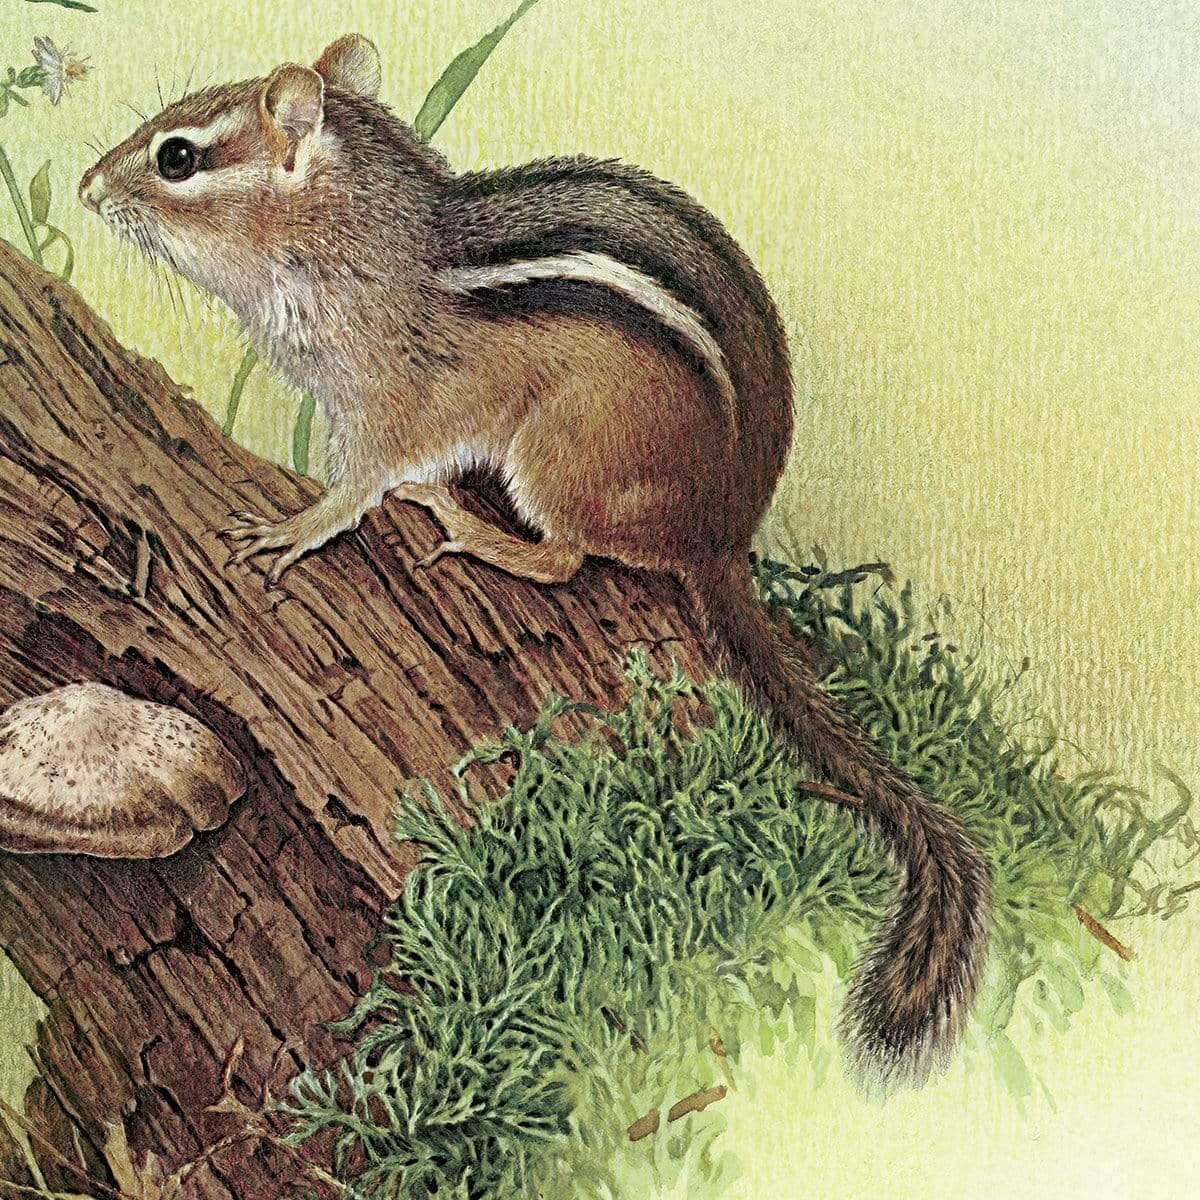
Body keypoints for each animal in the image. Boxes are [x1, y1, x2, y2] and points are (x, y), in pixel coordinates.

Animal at [79, 33, 990, 1087]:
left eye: (176, 157)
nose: (88, 185)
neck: (350, 240)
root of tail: (724, 534)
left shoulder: (386, 400)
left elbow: (361, 483)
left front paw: (297, 525)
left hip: (559, 450)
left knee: (564, 559)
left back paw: (479, 531)